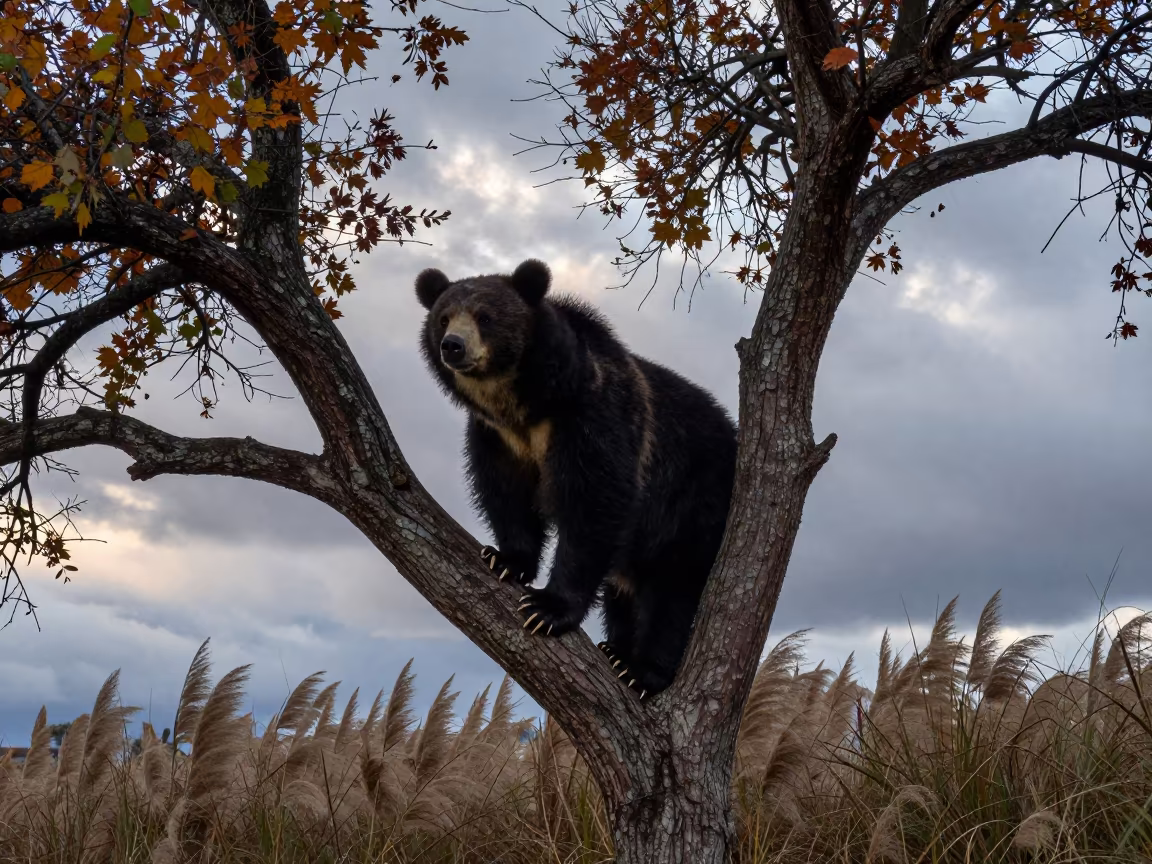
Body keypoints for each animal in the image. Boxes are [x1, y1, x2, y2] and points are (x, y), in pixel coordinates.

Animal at [416, 259, 737, 699]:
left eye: (485, 317)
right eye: (444, 317)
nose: (453, 346)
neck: (526, 404)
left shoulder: (593, 418)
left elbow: (594, 503)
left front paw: (547, 608)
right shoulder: (496, 437)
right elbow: (505, 492)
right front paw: (505, 560)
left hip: (695, 503)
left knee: (673, 590)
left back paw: (642, 671)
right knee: (625, 592)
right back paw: (616, 650)